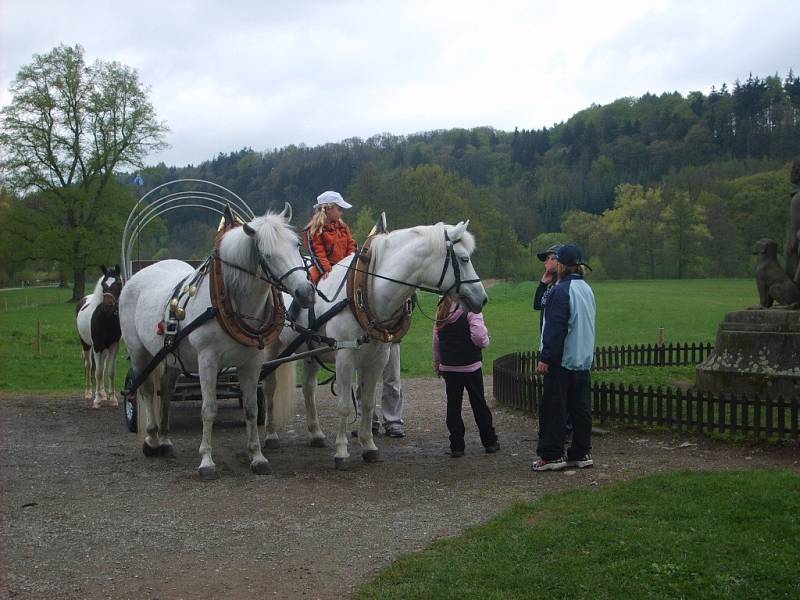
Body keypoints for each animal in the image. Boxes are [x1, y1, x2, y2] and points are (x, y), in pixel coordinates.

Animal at [76, 266, 123, 410]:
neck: (105, 319)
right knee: (89, 365)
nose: (107, 306)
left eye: (118, 283)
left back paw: (103, 393)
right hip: (86, 344)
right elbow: (98, 372)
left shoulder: (113, 346)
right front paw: (96, 401)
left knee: (102, 366)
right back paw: (89, 393)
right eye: (103, 284)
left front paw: (112, 399)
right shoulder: (97, 347)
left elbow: (110, 371)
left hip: (104, 349)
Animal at [120, 205, 314, 478]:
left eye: (297, 244)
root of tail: (142, 273)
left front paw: (257, 456)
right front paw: (206, 461)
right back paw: (151, 440)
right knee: (146, 390)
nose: (305, 292)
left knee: (166, 392)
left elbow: (252, 409)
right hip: (139, 353)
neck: (231, 301)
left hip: (171, 356)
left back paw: (166, 440)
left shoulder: (252, 362)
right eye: (267, 254)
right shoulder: (207, 361)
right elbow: (209, 409)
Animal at [266, 220, 488, 468]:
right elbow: (345, 405)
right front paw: (341, 451)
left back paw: (315, 433)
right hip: (271, 348)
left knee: (308, 387)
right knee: (269, 387)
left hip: (311, 351)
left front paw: (368, 446)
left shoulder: (377, 358)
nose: (482, 298)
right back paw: (271, 435)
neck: (365, 292)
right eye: (464, 259)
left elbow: (367, 403)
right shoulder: (345, 356)